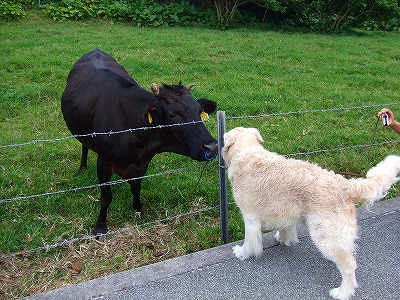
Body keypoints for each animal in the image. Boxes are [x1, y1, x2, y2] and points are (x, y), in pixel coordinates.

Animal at [61, 49, 217, 236]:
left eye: (199, 110)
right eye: (172, 114)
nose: (212, 147)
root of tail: (95, 50)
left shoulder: (141, 163)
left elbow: (136, 188)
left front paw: (138, 211)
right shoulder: (103, 162)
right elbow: (106, 197)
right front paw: (100, 226)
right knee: (84, 146)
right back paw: (82, 168)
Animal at [222, 126, 400, 300]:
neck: (247, 154)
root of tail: (346, 185)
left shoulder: (250, 219)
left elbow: (249, 242)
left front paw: (242, 253)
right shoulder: (285, 211)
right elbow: (285, 228)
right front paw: (283, 239)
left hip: (326, 237)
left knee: (349, 266)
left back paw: (343, 292)